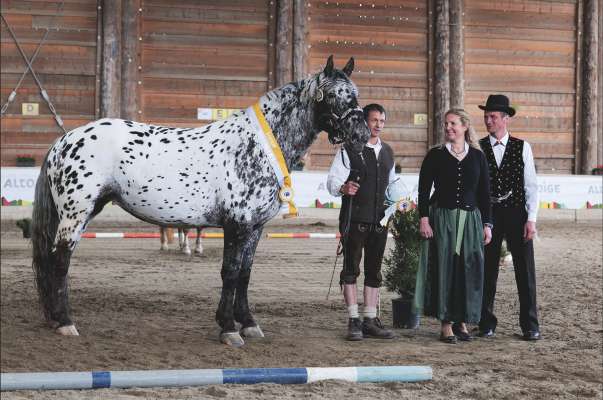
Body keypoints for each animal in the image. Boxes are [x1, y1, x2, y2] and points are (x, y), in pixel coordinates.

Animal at [34, 54, 372, 346]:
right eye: (334, 95)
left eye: (355, 95)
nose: (361, 135)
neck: (257, 146)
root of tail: (64, 140)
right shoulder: (236, 225)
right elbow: (230, 273)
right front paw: (228, 328)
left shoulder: (255, 227)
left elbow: (245, 274)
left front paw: (249, 323)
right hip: (76, 214)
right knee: (60, 259)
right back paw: (65, 323)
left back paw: (54, 319)